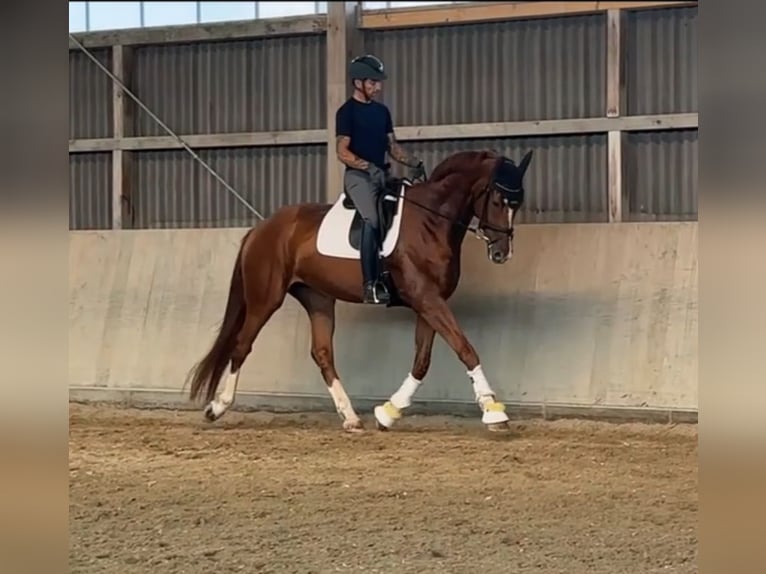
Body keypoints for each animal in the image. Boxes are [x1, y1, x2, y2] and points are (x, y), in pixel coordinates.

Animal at [186, 147, 536, 432]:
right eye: (498, 199)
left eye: (517, 203)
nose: (502, 253)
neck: (430, 221)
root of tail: (261, 228)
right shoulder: (427, 299)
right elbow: (465, 348)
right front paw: (493, 411)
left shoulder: (428, 302)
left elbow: (422, 361)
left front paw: (389, 412)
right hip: (265, 298)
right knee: (242, 345)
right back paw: (217, 407)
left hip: (318, 298)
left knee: (322, 352)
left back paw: (351, 417)